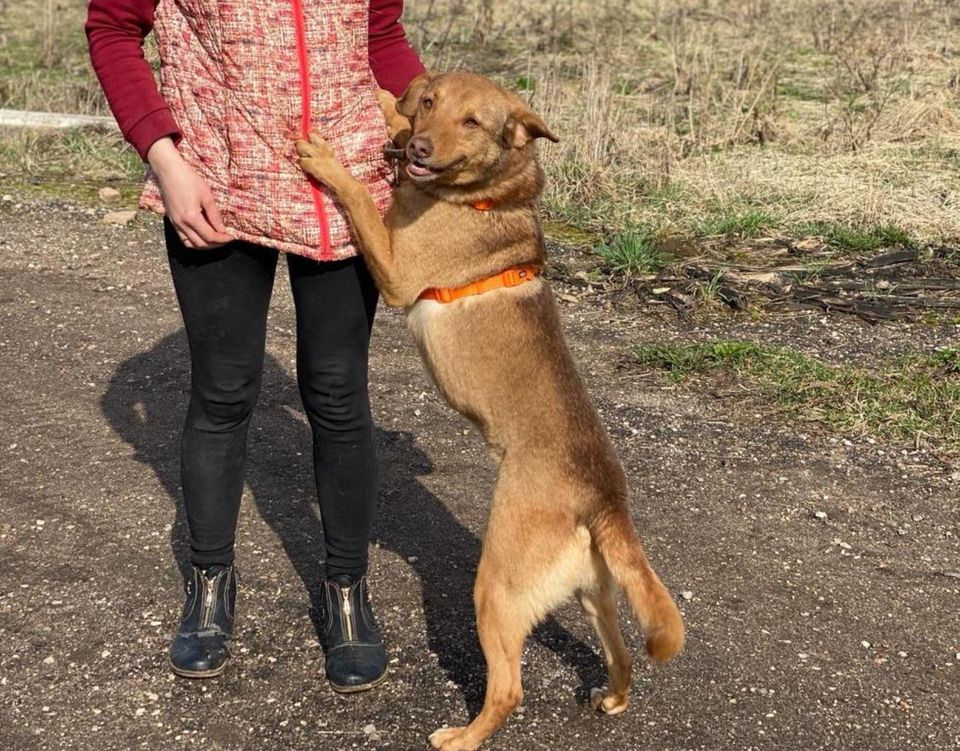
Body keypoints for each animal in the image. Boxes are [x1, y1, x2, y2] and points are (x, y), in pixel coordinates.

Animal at [296, 72, 688, 751]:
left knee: (508, 690)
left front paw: (328, 160)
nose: (419, 148)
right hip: (594, 595)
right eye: (430, 104)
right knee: (622, 656)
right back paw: (612, 697)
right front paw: (385, 99)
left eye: (474, 122)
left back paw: (462, 736)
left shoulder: (395, 268)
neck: (485, 195)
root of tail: (604, 498)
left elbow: (360, 199)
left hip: (496, 589)